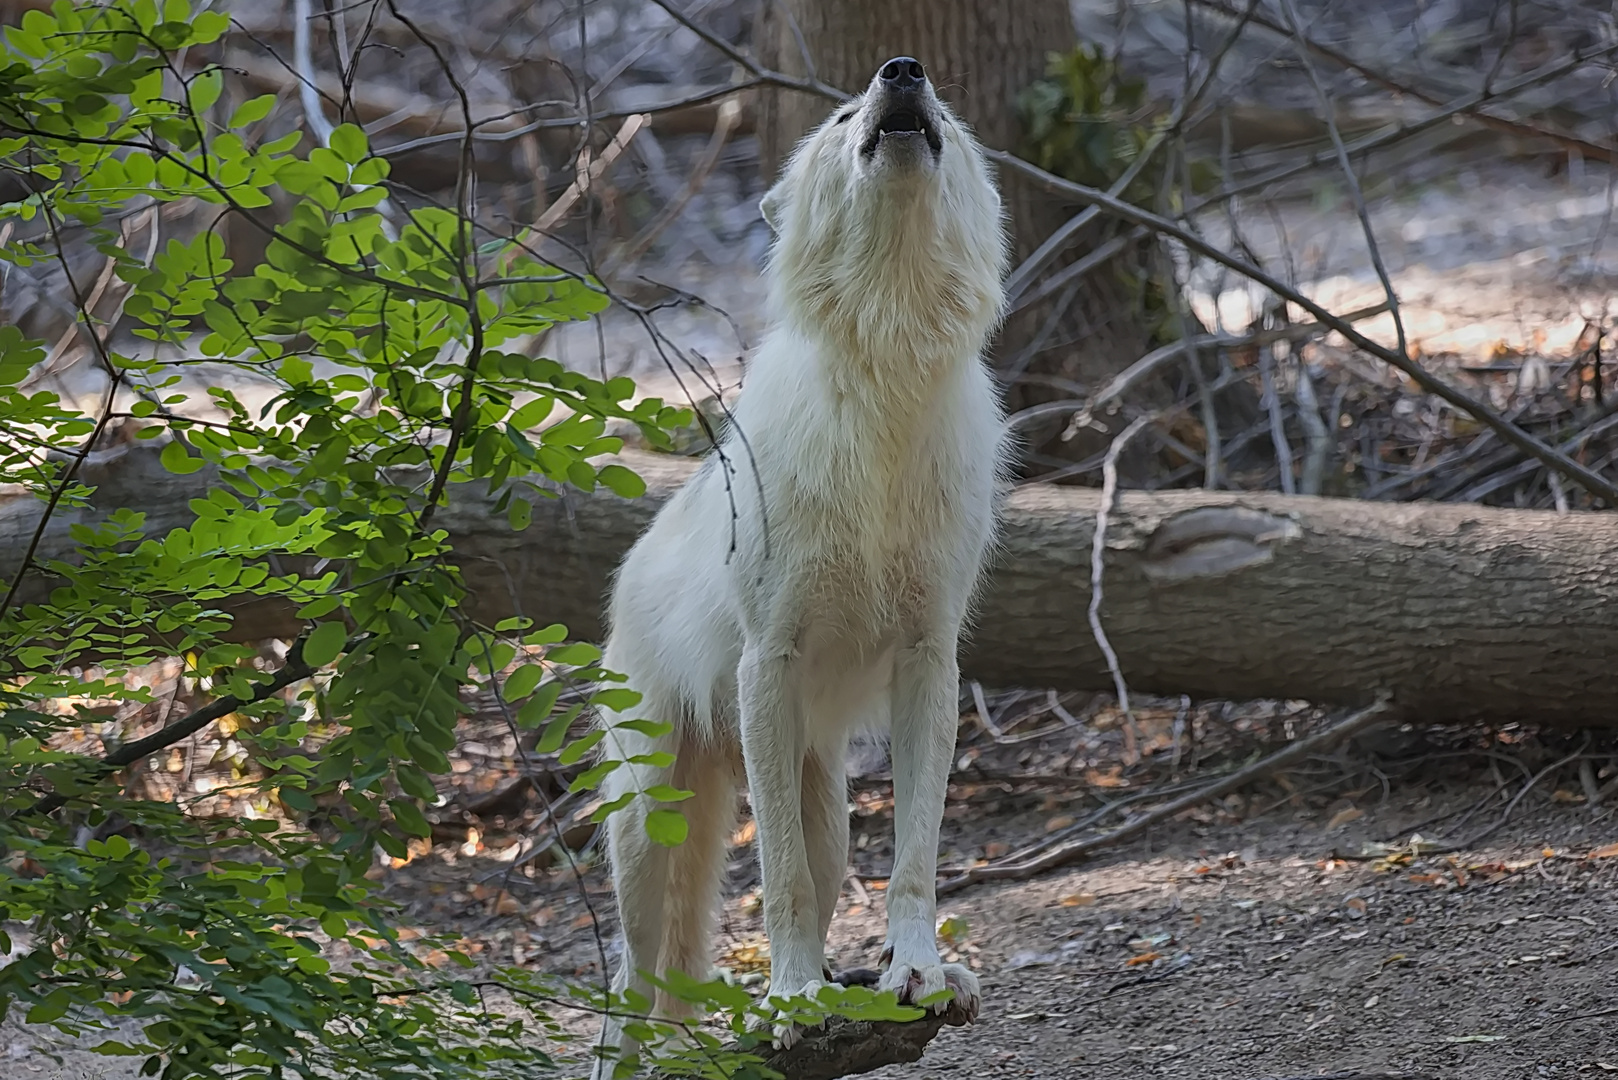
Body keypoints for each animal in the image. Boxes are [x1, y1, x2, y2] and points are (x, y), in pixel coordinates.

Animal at [588, 57, 1003, 1075]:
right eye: (848, 114)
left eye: (944, 111)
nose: (904, 70)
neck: (889, 370)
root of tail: (627, 573)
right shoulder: (765, 665)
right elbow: (777, 880)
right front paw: (791, 1000)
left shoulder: (930, 661)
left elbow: (915, 860)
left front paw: (919, 972)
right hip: (647, 816)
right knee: (629, 984)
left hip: (830, 802)